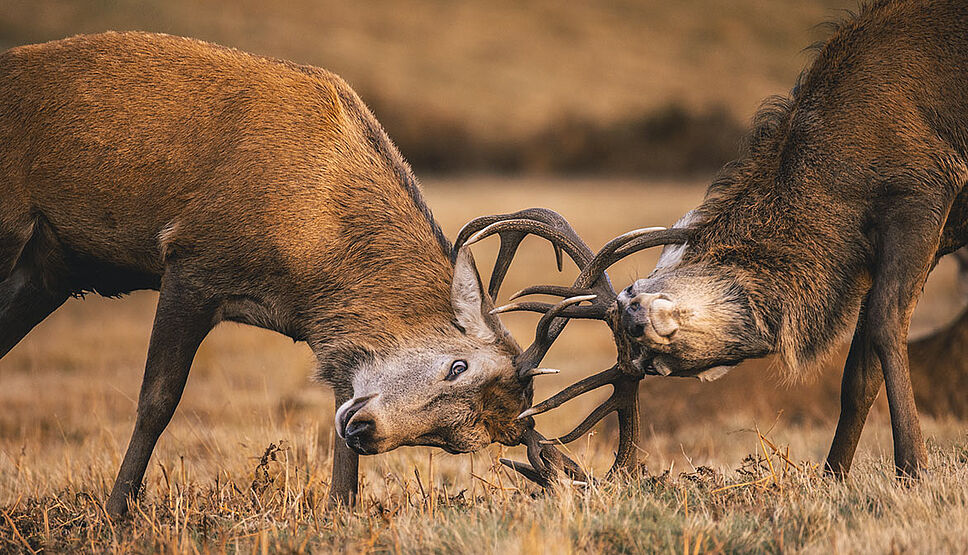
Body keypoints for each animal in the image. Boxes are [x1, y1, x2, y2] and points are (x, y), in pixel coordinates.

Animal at [0, 30, 588, 516]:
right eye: (456, 366)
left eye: (456, 439)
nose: (366, 428)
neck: (309, 272)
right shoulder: (191, 258)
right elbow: (157, 401)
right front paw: (116, 510)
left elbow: (338, 423)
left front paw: (340, 507)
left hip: (46, 271)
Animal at [464, 1, 968, 482]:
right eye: (655, 367)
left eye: (629, 291)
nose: (635, 318)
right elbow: (858, 369)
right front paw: (834, 475)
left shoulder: (924, 187)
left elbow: (885, 326)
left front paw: (913, 468)